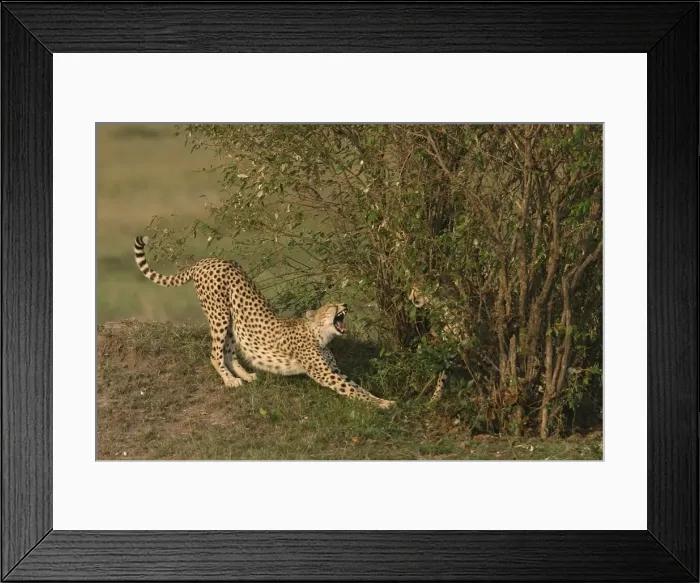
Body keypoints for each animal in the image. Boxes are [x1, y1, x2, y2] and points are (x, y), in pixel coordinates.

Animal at [133, 236, 395, 409]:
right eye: (332, 305)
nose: (345, 305)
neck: (319, 334)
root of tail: (208, 260)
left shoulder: (334, 369)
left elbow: (357, 386)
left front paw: (383, 399)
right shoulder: (324, 373)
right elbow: (352, 390)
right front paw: (383, 404)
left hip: (232, 321)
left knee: (229, 352)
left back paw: (245, 375)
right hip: (219, 315)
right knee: (215, 354)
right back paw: (230, 380)